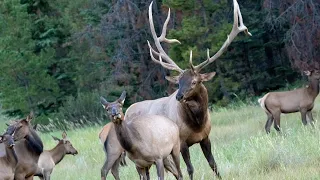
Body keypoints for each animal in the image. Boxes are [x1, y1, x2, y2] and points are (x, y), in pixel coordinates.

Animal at [122, 0, 250, 179]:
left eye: (194, 81)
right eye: (178, 82)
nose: (179, 96)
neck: (197, 124)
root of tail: (127, 111)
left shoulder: (205, 137)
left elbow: (213, 164)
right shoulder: (181, 142)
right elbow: (190, 169)